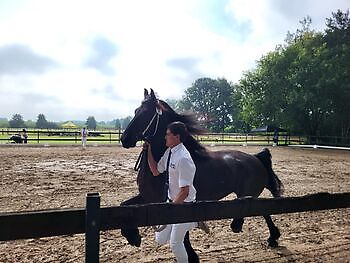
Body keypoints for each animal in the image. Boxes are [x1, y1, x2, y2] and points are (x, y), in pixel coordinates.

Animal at [121, 88, 284, 262]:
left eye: (146, 113)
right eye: (136, 111)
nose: (124, 139)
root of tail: (256, 158)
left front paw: (192, 256)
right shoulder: (149, 198)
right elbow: (124, 205)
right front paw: (133, 237)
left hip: (248, 195)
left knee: (260, 211)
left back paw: (245, 228)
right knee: (264, 211)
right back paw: (271, 237)